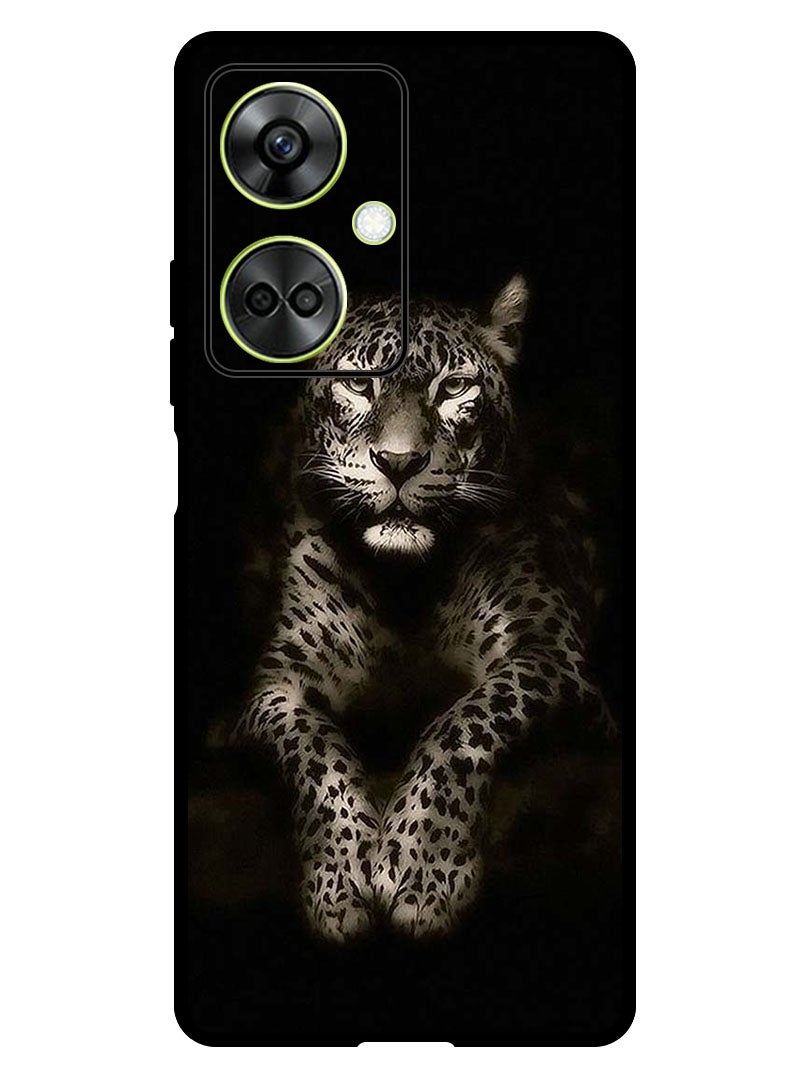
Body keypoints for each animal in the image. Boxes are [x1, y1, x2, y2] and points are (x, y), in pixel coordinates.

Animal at [229, 275, 615, 942]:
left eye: (453, 387)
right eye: (361, 384)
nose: (399, 463)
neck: (404, 585)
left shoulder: (551, 654)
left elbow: (463, 722)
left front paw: (422, 868)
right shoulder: (276, 684)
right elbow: (314, 748)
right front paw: (339, 880)